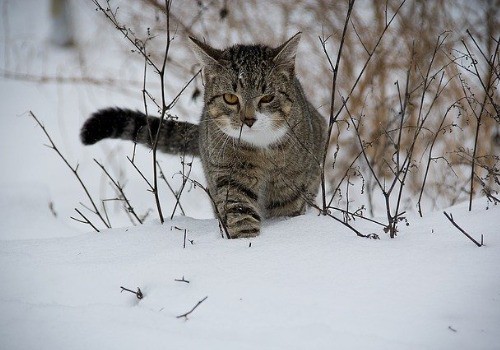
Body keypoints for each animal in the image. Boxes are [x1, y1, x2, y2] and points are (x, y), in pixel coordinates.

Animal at [80, 32, 326, 238]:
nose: (248, 120)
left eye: (267, 98)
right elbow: (239, 210)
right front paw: (246, 243)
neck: (261, 148)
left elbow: (286, 209)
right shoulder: (229, 173)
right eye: (230, 98)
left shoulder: (290, 183)